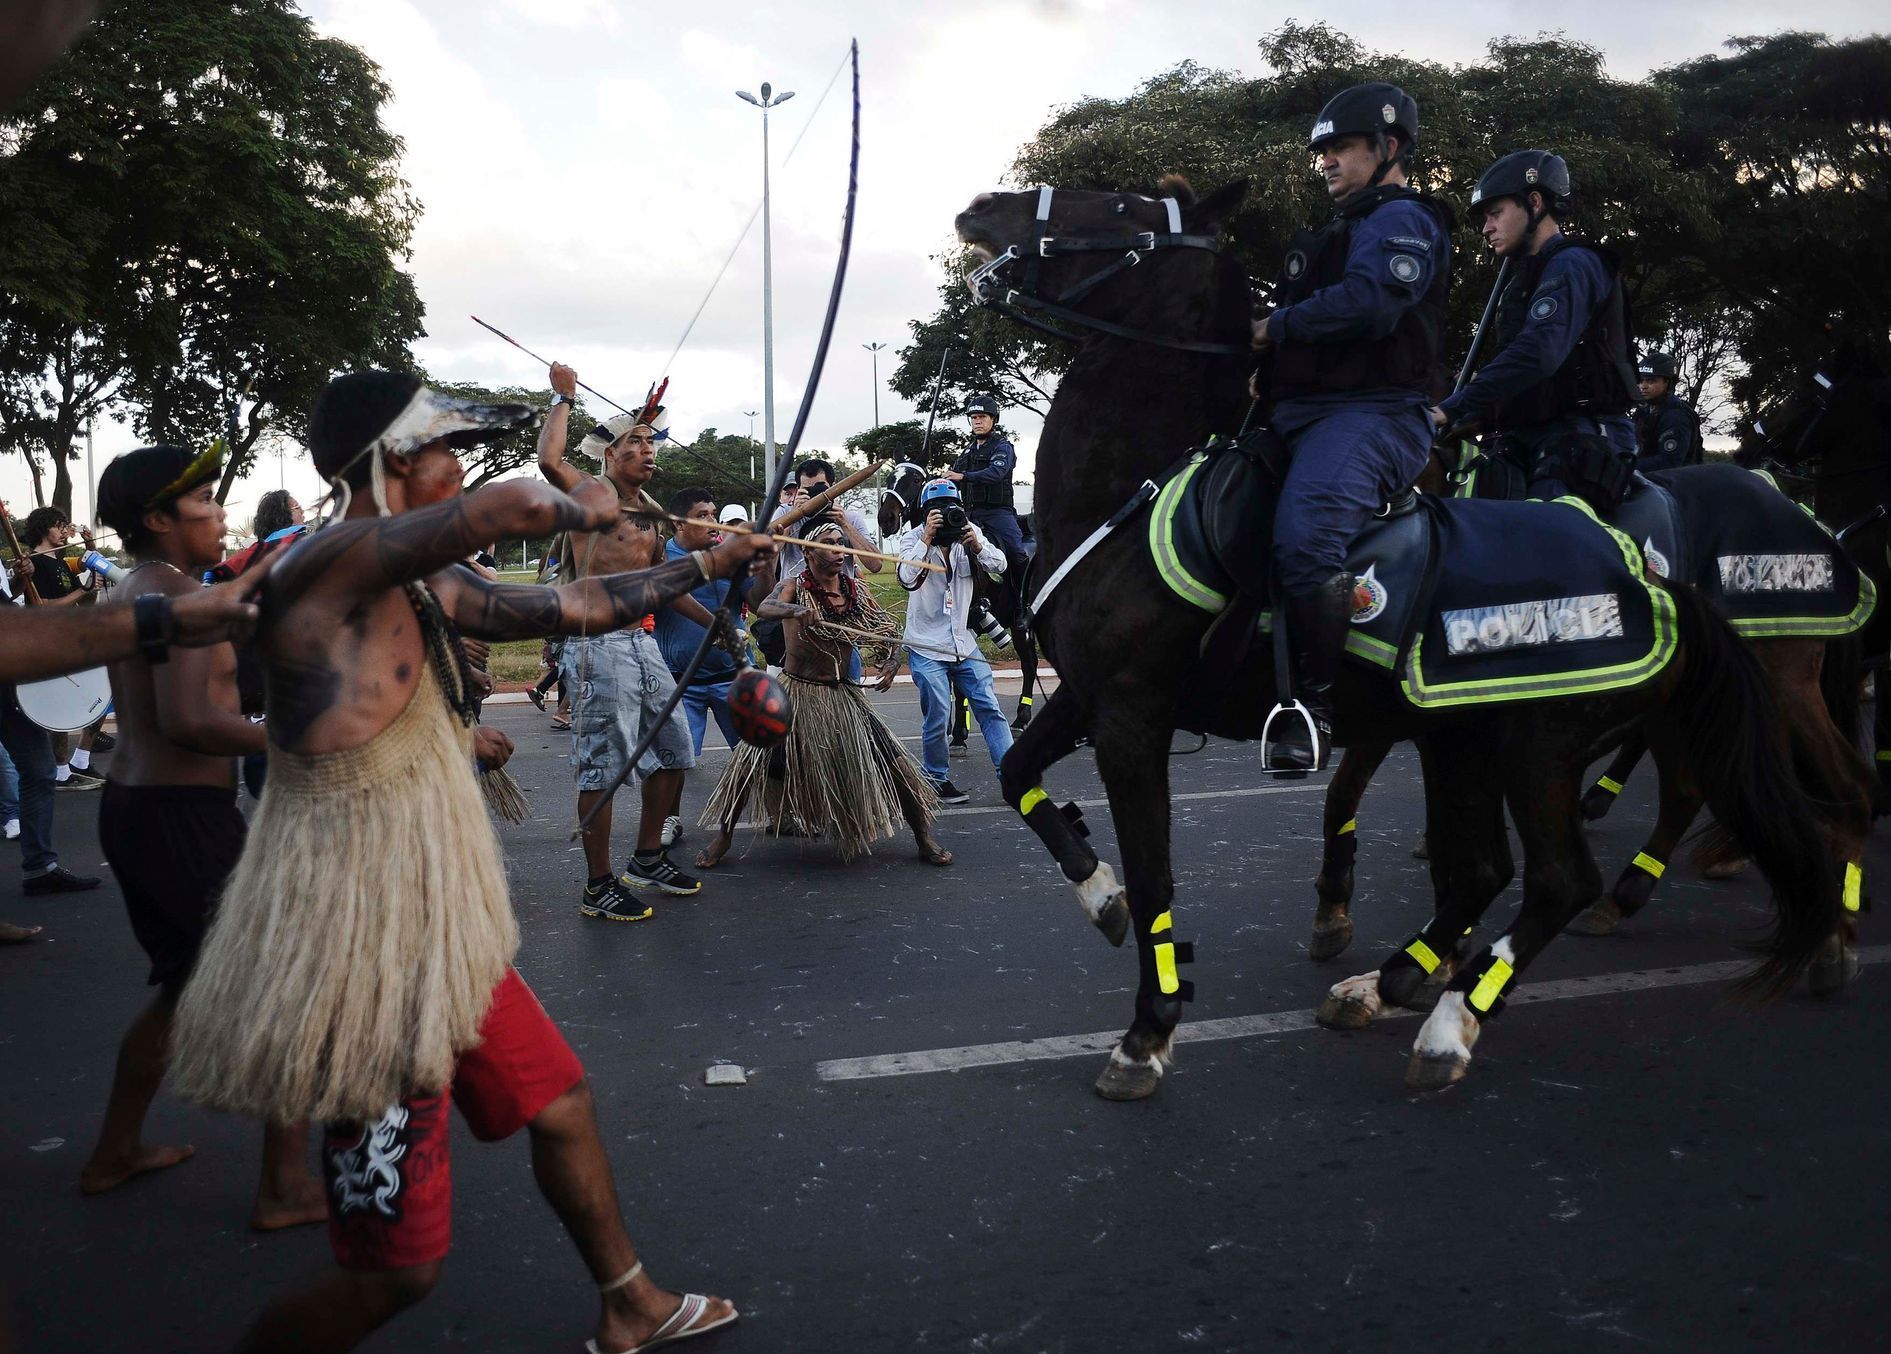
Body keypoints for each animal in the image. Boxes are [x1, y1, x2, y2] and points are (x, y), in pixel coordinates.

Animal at [960, 176, 1845, 1096]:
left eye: (1120, 209)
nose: (980, 206)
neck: (1131, 494)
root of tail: (1647, 570)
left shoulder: (1135, 717)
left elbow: (1157, 871)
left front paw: (1148, 1030)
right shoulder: (1092, 697)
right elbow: (1020, 777)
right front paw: (1101, 898)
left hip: (1543, 742)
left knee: (1566, 874)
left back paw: (1453, 1020)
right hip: (1474, 738)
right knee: (1503, 864)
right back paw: (1390, 981)